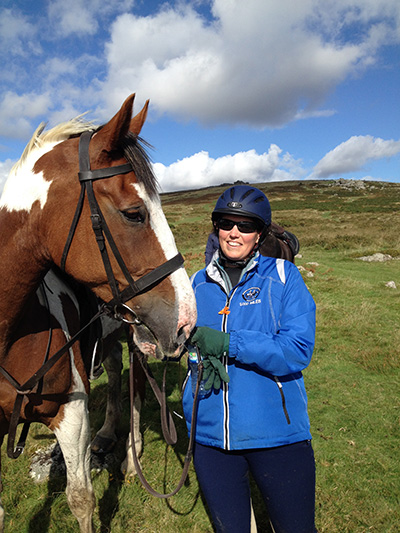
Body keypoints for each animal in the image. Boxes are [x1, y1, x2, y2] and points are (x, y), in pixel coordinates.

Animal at [0, 95, 197, 532]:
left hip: (139, 336)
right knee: (114, 368)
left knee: (137, 384)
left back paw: (131, 455)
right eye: (134, 213)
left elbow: (81, 499)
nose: (186, 320)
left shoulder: (71, 416)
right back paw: (107, 432)